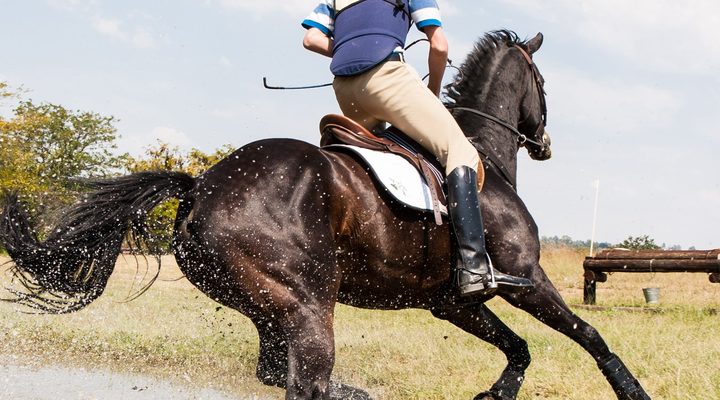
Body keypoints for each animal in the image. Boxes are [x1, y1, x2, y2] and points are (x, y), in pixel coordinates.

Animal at [0, 31, 651, 400]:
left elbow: (518, 350)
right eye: (543, 85)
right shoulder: (524, 280)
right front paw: (632, 388)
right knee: (306, 382)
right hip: (310, 300)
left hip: (267, 305)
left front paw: (497, 394)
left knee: (279, 374)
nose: (545, 144)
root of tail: (202, 186)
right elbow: (589, 334)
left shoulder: (452, 302)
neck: (482, 155)